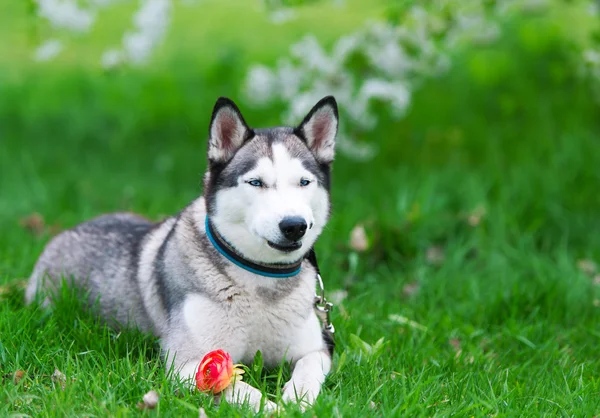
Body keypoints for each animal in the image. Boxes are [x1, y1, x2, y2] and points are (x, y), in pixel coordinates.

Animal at [25, 94, 340, 408]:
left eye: (304, 182)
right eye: (255, 182)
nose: (294, 226)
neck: (262, 281)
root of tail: (67, 231)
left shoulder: (318, 348)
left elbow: (308, 370)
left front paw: (299, 402)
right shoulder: (190, 365)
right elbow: (244, 391)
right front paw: (274, 409)